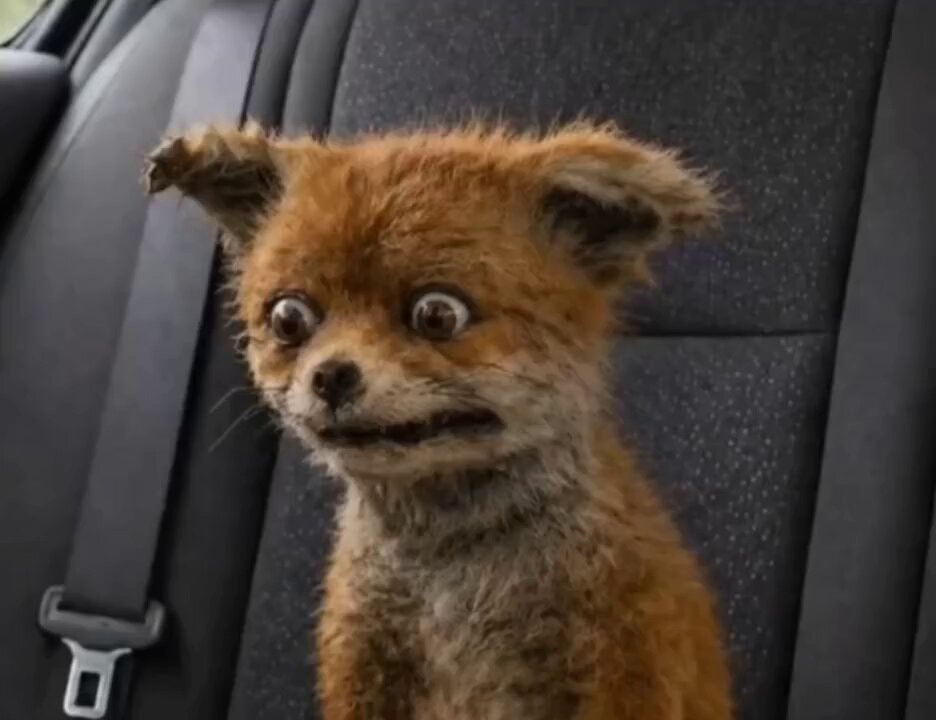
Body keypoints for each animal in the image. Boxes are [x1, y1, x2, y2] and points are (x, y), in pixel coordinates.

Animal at [144, 121, 733, 720]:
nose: (331, 375)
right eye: (289, 318)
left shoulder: (623, 669)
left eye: (437, 315)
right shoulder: (361, 662)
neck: (447, 570)